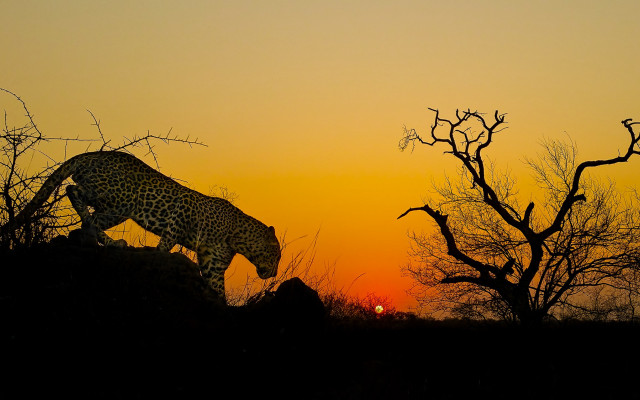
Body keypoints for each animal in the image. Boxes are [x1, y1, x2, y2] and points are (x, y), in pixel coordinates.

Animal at [2, 151, 281, 302]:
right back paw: (100, 236)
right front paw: (159, 254)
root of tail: (91, 154)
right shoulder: (183, 211)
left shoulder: (213, 262)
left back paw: (98, 237)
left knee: (84, 205)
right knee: (75, 192)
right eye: (277, 255)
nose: (274, 273)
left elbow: (217, 288)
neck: (238, 237)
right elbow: (168, 240)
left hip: (113, 203)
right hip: (119, 201)